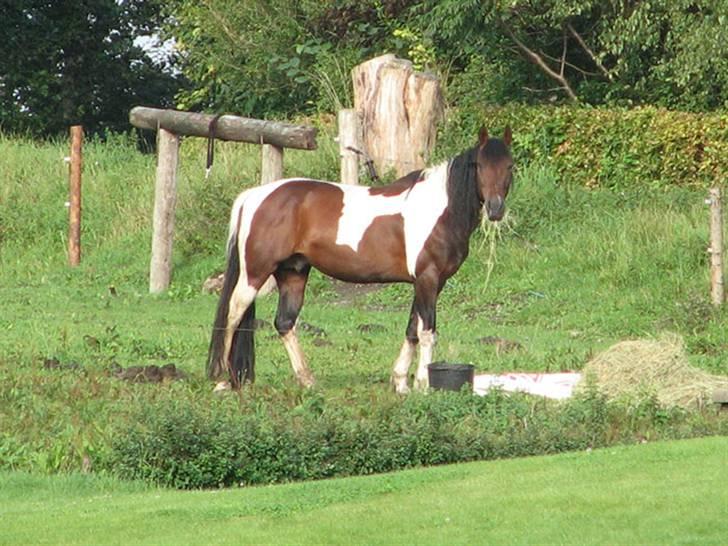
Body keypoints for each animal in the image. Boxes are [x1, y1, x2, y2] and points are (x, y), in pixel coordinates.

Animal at [205, 126, 512, 392]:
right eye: (479, 166)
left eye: (510, 166)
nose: (496, 209)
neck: (440, 209)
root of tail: (254, 196)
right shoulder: (428, 277)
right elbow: (426, 332)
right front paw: (424, 385)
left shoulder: (429, 282)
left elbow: (412, 329)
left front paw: (401, 382)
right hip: (255, 273)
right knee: (234, 313)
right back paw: (222, 379)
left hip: (293, 272)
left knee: (284, 322)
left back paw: (307, 380)